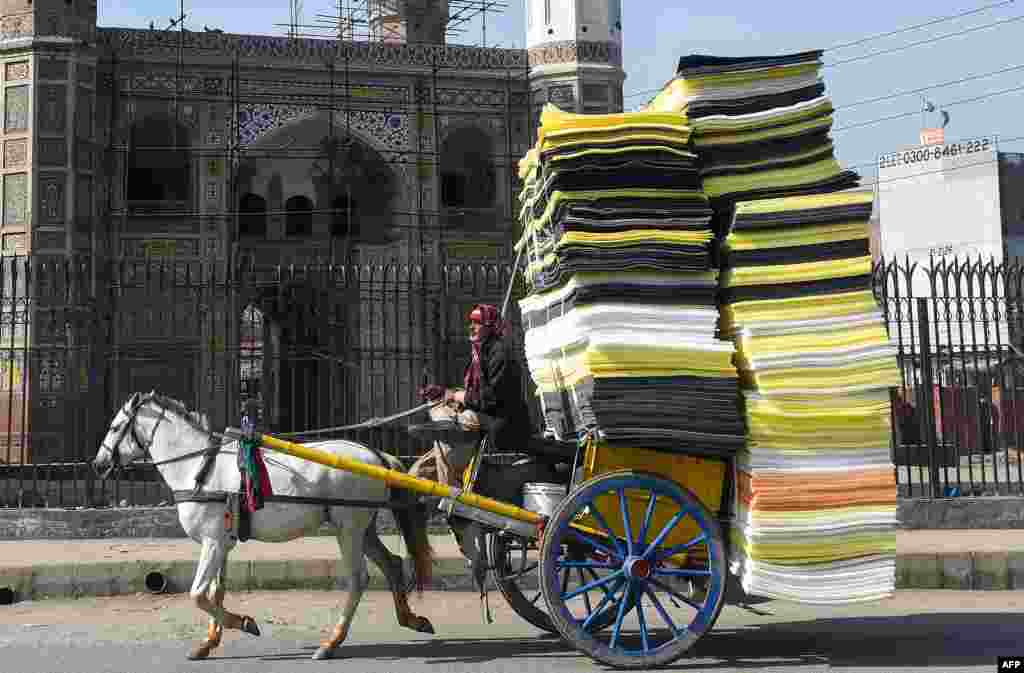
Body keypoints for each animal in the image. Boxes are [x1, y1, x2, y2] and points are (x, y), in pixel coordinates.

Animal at [91, 391, 436, 659]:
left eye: (115, 426)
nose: (97, 463)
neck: (199, 467)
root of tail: (376, 455)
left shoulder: (212, 542)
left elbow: (198, 594)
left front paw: (244, 622)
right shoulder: (221, 542)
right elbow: (215, 591)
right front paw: (208, 642)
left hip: (348, 529)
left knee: (358, 578)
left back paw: (331, 642)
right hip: (362, 528)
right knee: (391, 564)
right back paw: (411, 619)